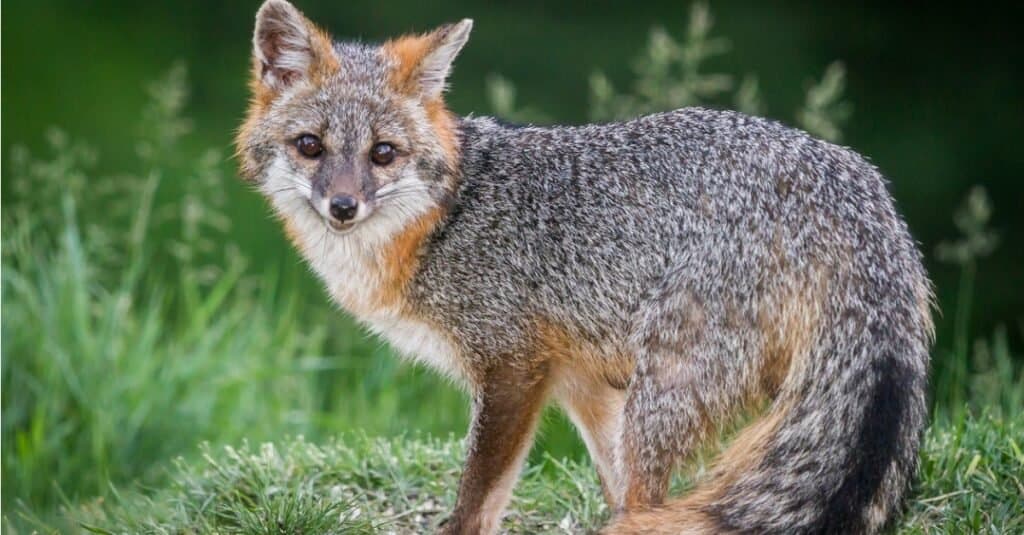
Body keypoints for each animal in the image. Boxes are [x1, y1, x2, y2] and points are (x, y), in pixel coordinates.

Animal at [234, 2, 937, 528]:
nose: (343, 206)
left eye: (383, 153)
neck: (444, 219)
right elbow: (611, 488)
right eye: (310, 146)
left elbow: (477, 501)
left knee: (654, 503)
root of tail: (854, 185)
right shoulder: (582, 384)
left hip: (666, 390)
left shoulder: (513, 369)